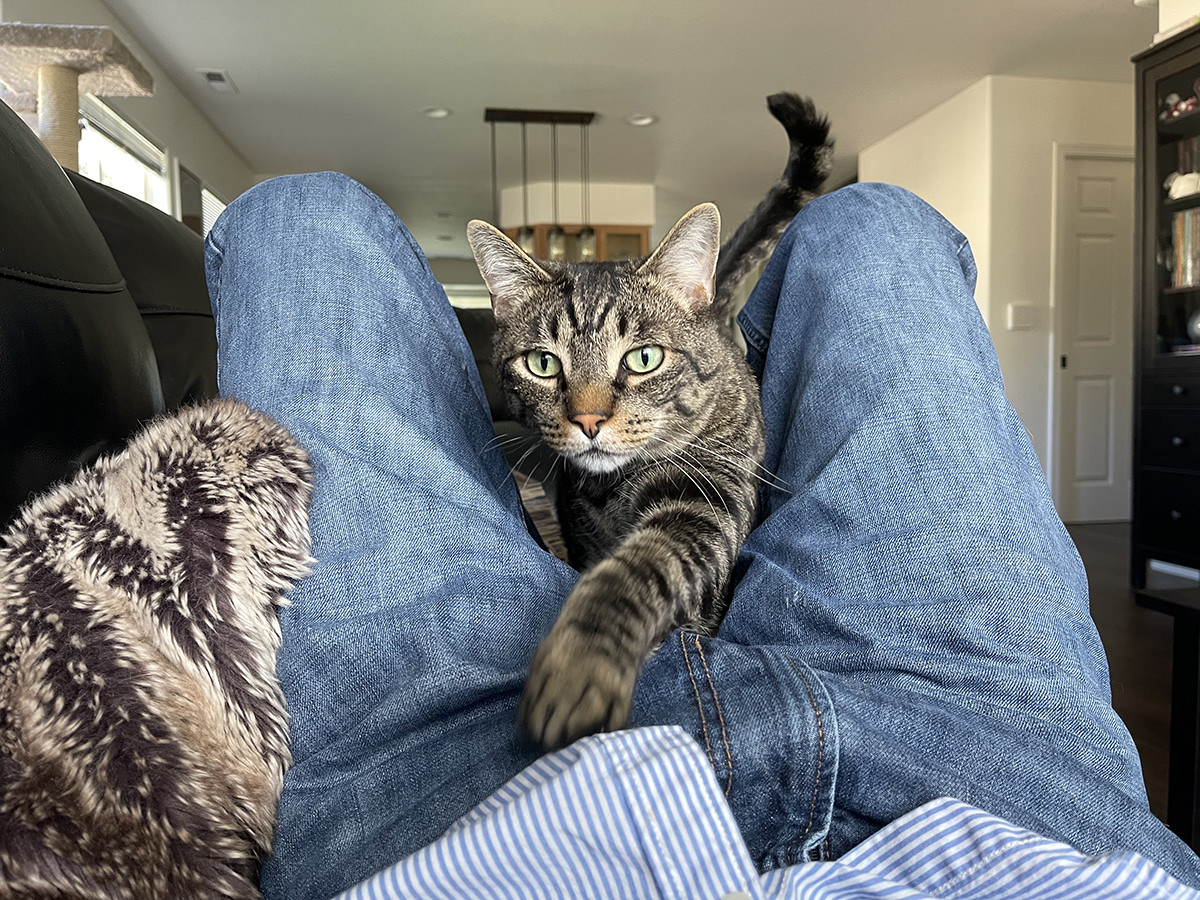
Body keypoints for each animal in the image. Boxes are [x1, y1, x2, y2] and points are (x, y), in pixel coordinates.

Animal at [468, 95, 835, 748]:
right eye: (543, 364)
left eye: (643, 359)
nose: (588, 418)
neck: (610, 494)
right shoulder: (578, 529)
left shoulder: (702, 503)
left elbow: (636, 571)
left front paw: (577, 670)